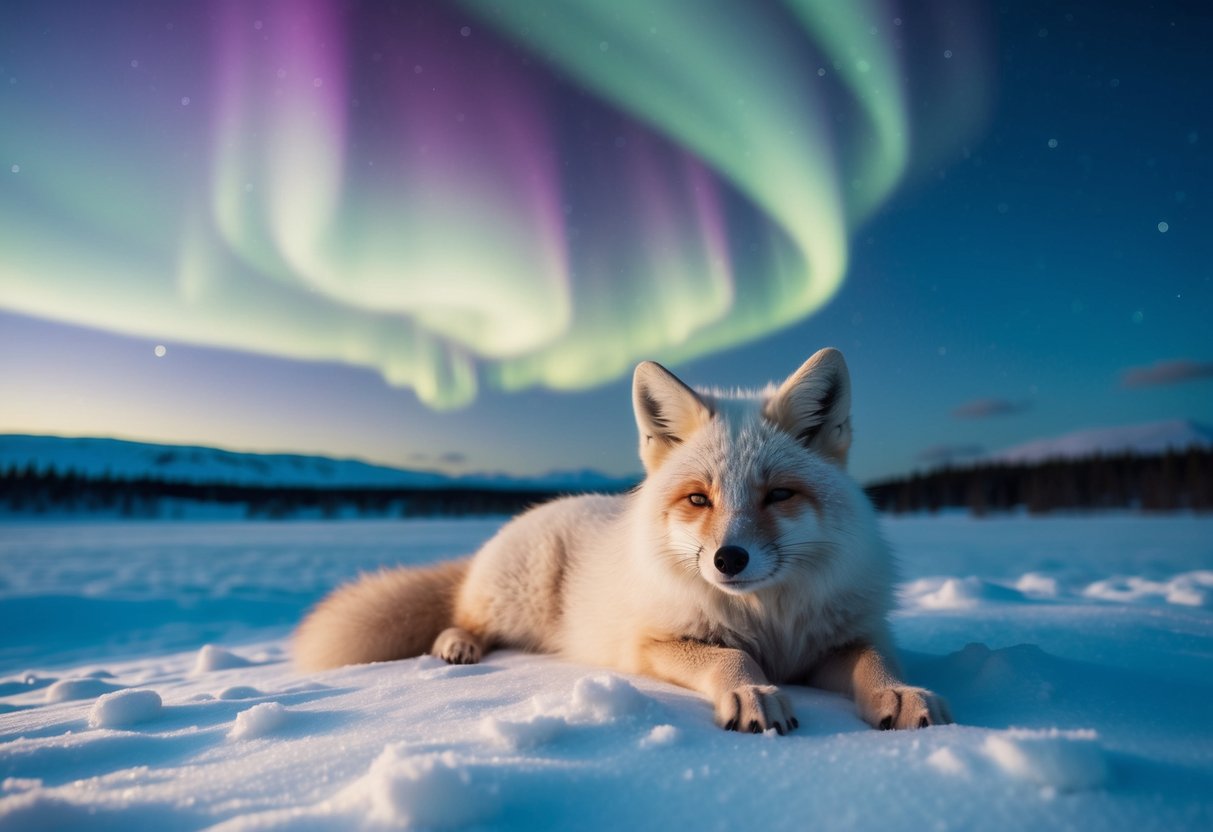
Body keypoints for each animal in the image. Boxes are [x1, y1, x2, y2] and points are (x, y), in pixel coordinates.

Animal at [294, 347, 952, 734]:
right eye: (698, 499)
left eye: (778, 496)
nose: (728, 559)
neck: (769, 620)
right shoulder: (651, 643)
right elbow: (729, 657)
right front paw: (752, 693)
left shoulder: (842, 639)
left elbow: (875, 664)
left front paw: (902, 695)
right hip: (513, 601)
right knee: (464, 615)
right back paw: (457, 645)